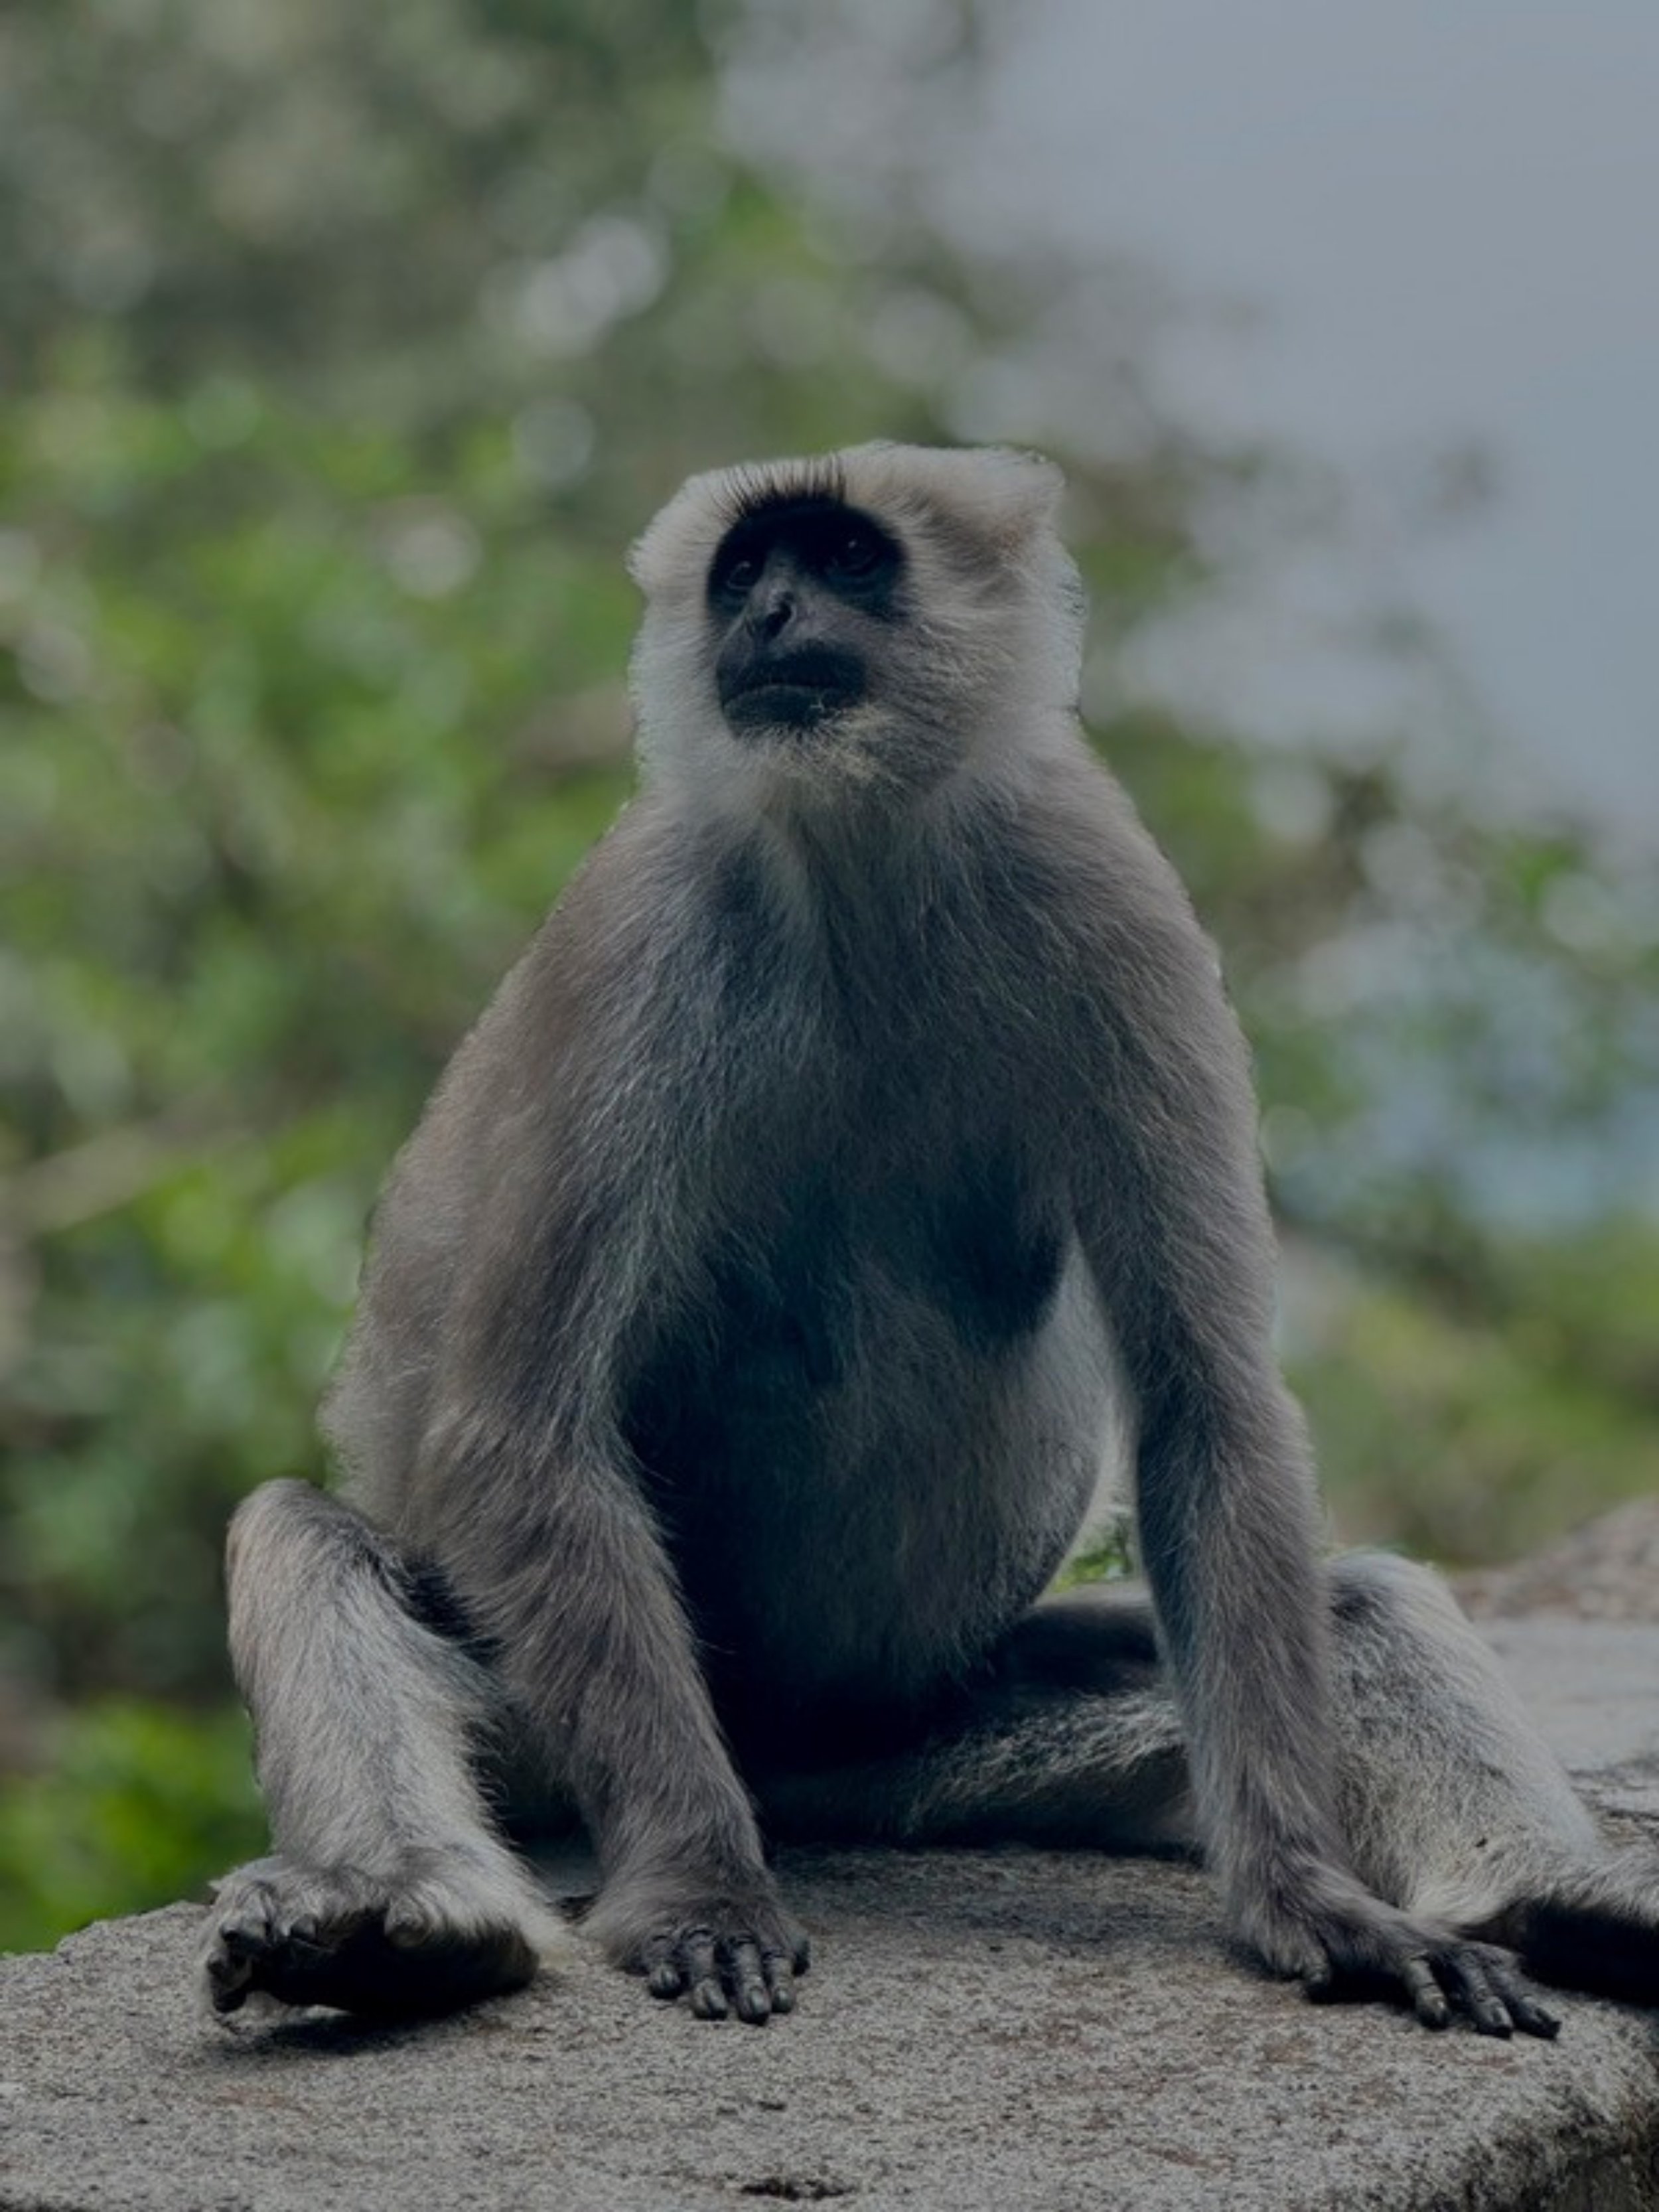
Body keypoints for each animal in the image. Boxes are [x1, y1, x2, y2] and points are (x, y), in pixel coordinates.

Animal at [203, 442, 1659, 2035]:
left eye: (844, 556)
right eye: (744, 570)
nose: (769, 614)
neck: (862, 854)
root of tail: (780, 1751)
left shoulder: (1100, 883)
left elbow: (1207, 1398)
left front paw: (1310, 1901)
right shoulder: (643, 929)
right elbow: (512, 1428)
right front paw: (698, 1891)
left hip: (923, 1721)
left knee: (1358, 1599)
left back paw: (1555, 1902)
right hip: (568, 1716)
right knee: (302, 1534)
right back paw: (419, 1915)